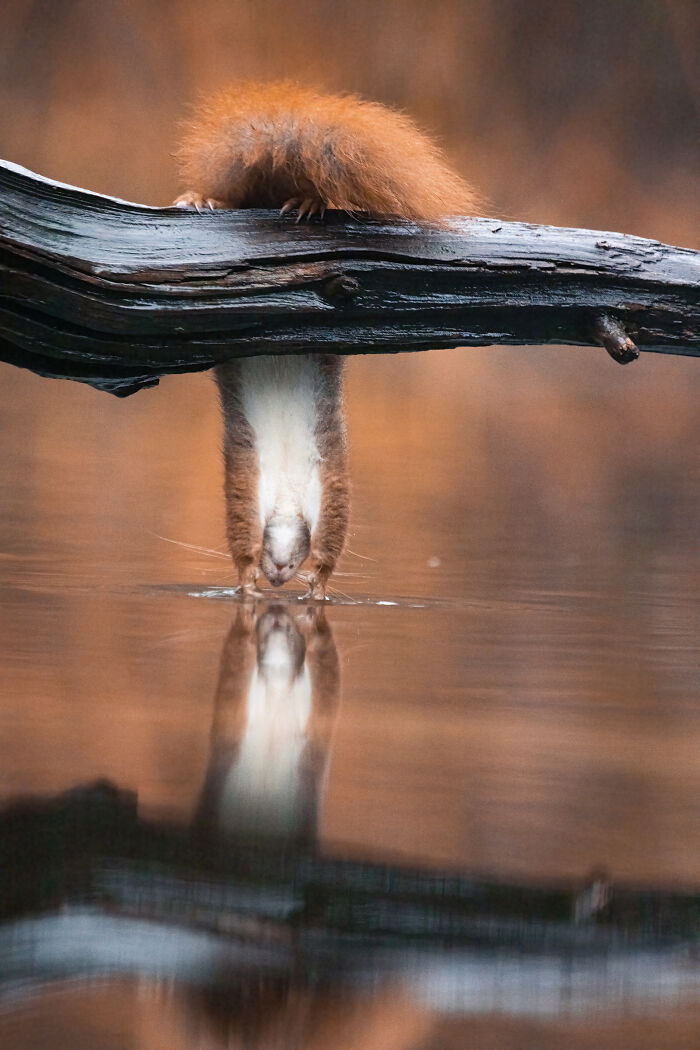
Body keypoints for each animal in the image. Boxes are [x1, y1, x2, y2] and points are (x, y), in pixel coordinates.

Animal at [174, 81, 477, 598]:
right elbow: (240, 537)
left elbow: (333, 539)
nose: (279, 576)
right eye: (276, 562)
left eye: (293, 561)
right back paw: (200, 200)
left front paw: (316, 584)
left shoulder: (332, 484)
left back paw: (308, 202)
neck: (284, 496)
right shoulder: (244, 484)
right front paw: (248, 582)